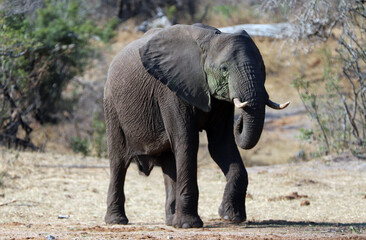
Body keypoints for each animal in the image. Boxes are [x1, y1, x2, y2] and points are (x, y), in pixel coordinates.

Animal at [103, 23, 288, 228]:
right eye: (224, 69)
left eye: (263, 68)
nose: (239, 120)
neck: (210, 40)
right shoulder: (171, 90)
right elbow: (187, 142)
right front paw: (188, 225)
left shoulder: (219, 101)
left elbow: (221, 145)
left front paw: (231, 217)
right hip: (112, 107)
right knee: (119, 161)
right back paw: (117, 221)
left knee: (169, 162)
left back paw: (170, 220)